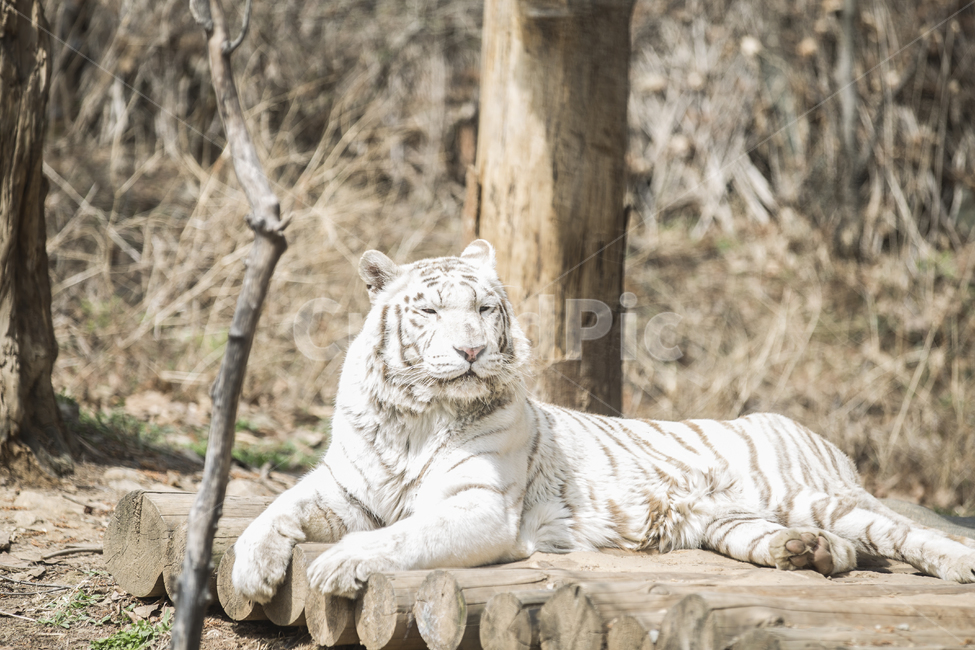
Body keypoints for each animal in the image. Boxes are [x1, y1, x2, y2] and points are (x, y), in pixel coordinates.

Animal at [232, 239, 975, 601]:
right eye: (431, 311)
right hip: (734, 522)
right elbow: (270, 512)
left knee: (904, 534)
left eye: (484, 309)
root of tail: (816, 436)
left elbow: (401, 536)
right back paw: (806, 553)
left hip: (812, 493)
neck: (418, 414)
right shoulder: (342, 484)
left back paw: (956, 565)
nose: (471, 351)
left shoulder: (478, 507)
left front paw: (339, 564)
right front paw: (250, 574)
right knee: (836, 547)